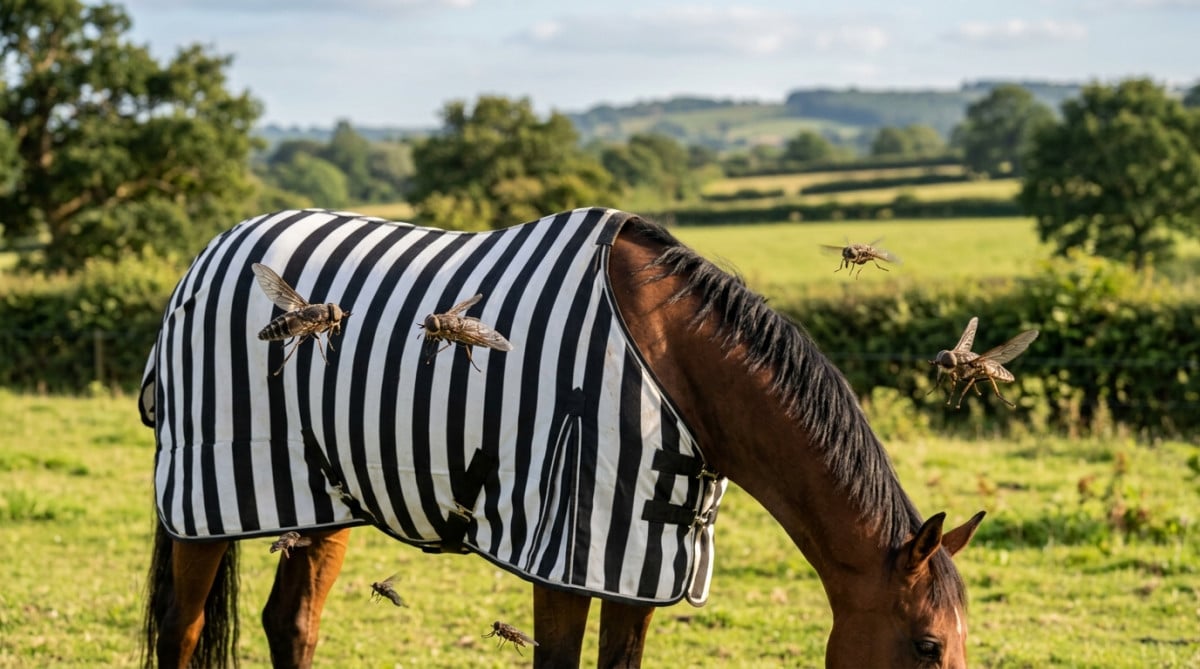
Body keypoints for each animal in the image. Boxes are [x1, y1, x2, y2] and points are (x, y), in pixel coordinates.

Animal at [140, 208, 985, 668]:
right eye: (927, 646)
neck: (675, 370)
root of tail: (204, 257)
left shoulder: (644, 555)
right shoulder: (567, 544)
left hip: (321, 493)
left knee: (291, 622)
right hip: (208, 492)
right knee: (182, 628)